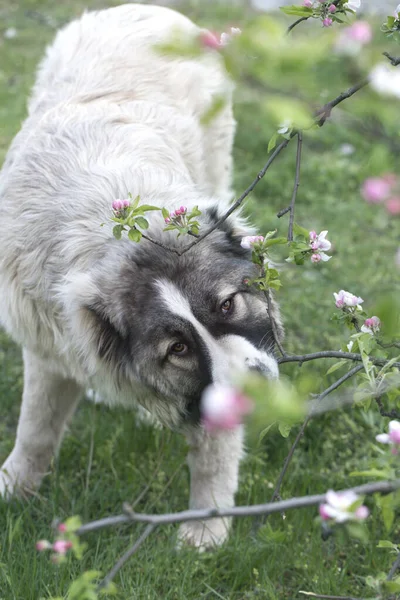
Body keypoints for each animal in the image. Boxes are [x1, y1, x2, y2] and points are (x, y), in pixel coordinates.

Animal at [0, 3, 282, 548]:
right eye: (177, 349)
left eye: (228, 305)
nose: (254, 397)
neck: (119, 240)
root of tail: (142, 7)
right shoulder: (46, 346)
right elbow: (36, 427)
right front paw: (15, 487)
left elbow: (213, 450)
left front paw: (206, 528)